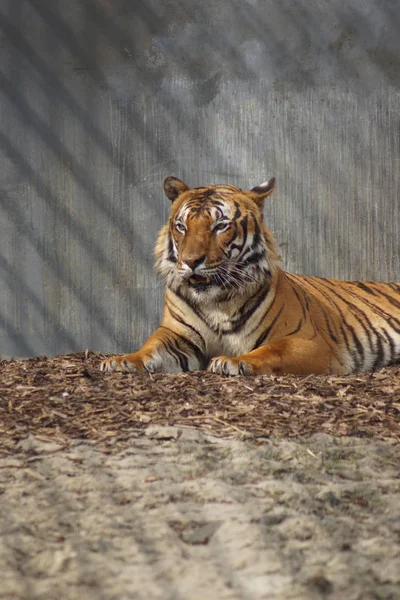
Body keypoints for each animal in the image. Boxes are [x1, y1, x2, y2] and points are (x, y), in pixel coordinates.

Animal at [101, 176, 400, 378]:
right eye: (181, 226)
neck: (216, 301)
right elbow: (150, 347)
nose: (191, 261)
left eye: (220, 226)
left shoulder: (311, 342)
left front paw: (233, 362)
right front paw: (120, 361)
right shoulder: (177, 334)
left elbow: (272, 350)